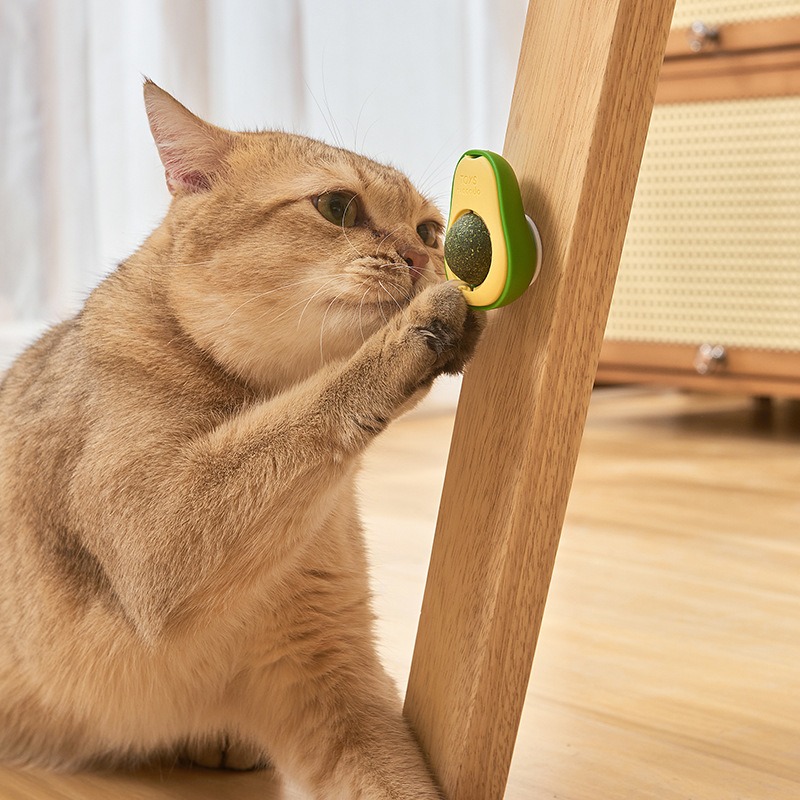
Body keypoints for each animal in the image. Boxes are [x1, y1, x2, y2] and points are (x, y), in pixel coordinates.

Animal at [0, 83, 482, 800]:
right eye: (337, 207)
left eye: (429, 230)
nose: (425, 258)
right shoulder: (159, 544)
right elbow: (310, 411)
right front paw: (423, 325)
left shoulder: (330, 670)